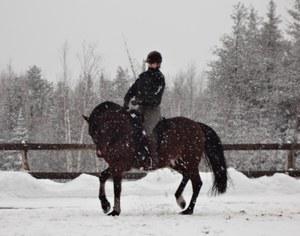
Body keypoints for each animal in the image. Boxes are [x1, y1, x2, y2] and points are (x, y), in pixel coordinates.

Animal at [82, 101, 227, 216]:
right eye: (91, 133)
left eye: (103, 130)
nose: (99, 153)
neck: (119, 133)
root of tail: (197, 125)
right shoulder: (115, 165)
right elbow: (102, 177)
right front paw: (105, 206)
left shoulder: (119, 166)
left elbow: (117, 188)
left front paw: (114, 211)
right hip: (177, 162)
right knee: (187, 176)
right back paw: (181, 201)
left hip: (190, 161)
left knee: (197, 183)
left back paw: (188, 210)